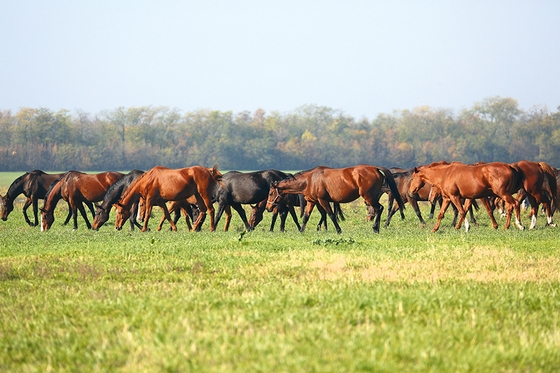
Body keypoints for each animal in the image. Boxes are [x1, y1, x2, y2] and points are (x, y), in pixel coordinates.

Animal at [266, 163, 402, 232]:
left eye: (271, 193)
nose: (268, 207)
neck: (310, 180)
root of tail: (374, 168)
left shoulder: (323, 201)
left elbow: (331, 215)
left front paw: (338, 230)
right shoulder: (311, 201)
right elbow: (306, 217)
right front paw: (301, 231)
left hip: (369, 197)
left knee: (379, 208)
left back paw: (375, 228)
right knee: (379, 209)